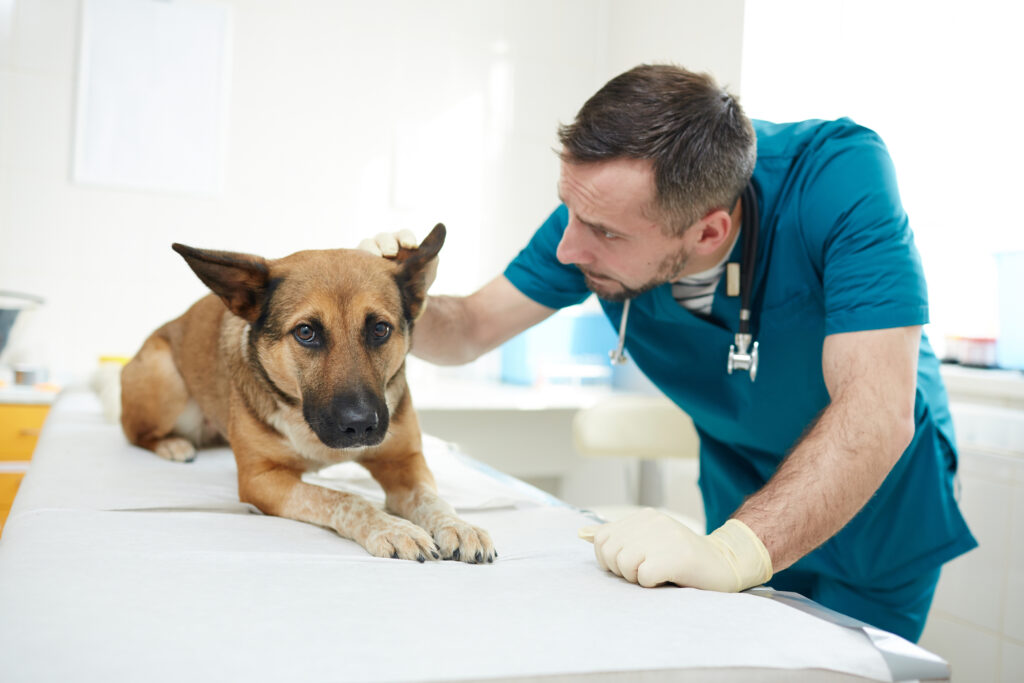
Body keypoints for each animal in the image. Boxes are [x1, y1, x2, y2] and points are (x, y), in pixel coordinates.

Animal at [119, 227, 495, 565]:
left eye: (380, 329)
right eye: (306, 332)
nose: (360, 426)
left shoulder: (404, 461)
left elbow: (432, 499)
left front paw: (459, 525)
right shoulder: (261, 481)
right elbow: (346, 499)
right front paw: (391, 528)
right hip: (164, 378)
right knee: (134, 432)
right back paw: (172, 445)